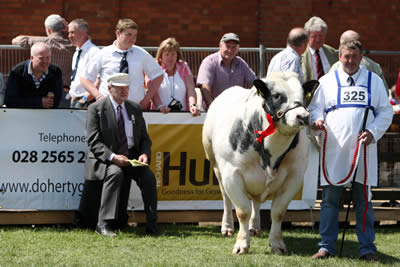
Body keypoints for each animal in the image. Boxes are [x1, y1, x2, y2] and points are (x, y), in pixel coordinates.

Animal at [203, 73, 318, 255]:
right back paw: (227, 228)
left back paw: (254, 227)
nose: (303, 117)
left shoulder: (295, 177)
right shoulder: (231, 175)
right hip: (216, 167)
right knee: (226, 199)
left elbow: (278, 212)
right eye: (277, 95)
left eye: (303, 95)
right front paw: (242, 244)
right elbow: (243, 210)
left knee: (256, 202)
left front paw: (277, 244)